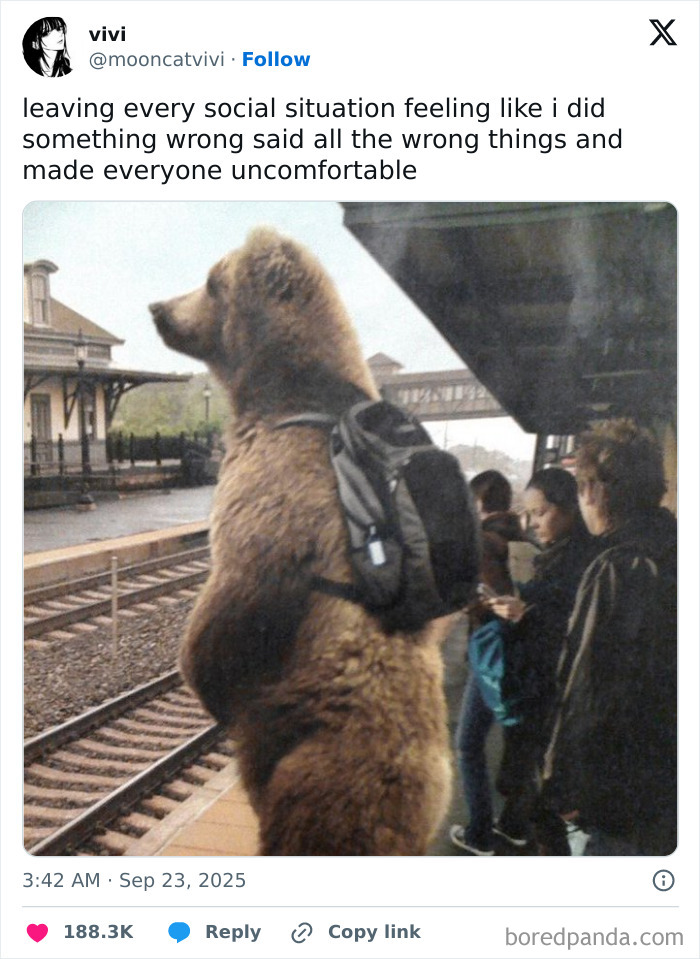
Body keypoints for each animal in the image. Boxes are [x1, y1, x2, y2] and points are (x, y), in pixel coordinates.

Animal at [150, 227, 455, 855]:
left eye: (210, 280)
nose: (158, 309)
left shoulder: (267, 503)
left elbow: (231, 602)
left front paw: (202, 678)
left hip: (318, 775)